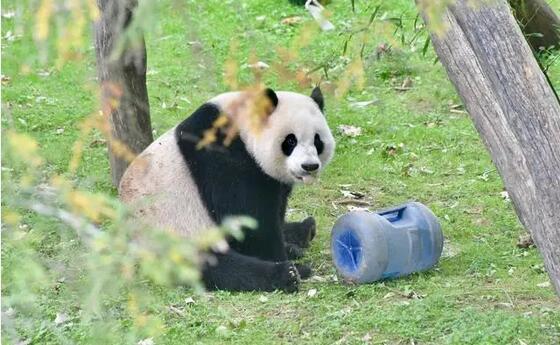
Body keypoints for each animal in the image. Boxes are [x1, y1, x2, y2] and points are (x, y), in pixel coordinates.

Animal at [120, 86, 334, 290]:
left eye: (317, 140)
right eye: (290, 141)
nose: (309, 166)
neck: (241, 126)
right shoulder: (223, 157)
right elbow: (249, 220)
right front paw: (283, 259)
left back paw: (303, 231)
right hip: (176, 238)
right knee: (220, 269)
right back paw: (288, 273)